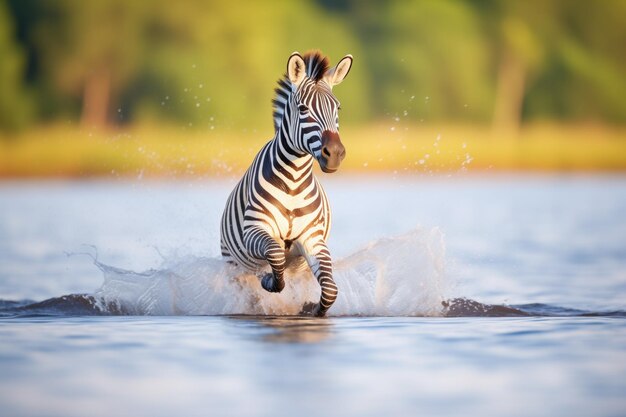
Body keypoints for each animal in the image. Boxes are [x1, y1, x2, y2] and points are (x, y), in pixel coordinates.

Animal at [219, 50, 352, 316]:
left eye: (338, 107)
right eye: (302, 108)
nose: (334, 153)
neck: (293, 180)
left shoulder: (312, 239)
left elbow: (330, 289)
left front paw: (313, 310)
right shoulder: (255, 230)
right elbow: (276, 255)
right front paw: (270, 281)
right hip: (234, 266)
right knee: (249, 294)